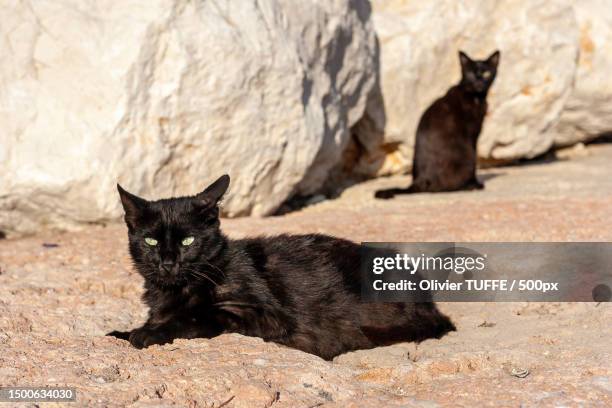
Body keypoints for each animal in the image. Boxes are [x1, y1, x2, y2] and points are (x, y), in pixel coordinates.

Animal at [109, 175, 454, 360]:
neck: (175, 291)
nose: (168, 262)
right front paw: (124, 331)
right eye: (151, 241)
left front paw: (148, 333)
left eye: (187, 241)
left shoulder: (265, 315)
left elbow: (198, 316)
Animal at [376, 49, 500, 199]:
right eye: (470, 73)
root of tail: (418, 181)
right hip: (466, 154)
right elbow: (475, 161)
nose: (479, 82)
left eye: (486, 73)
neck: (477, 97)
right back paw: (468, 186)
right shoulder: (472, 135)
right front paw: (476, 184)